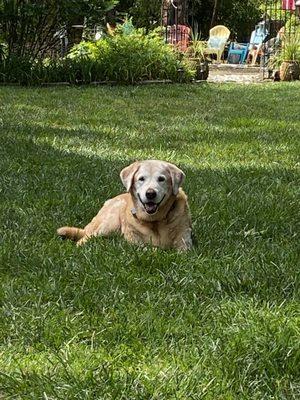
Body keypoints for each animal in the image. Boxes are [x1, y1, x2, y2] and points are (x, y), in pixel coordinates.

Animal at [57, 160, 192, 250]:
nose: (150, 194)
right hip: (109, 224)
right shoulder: (135, 243)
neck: (154, 221)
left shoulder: (185, 242)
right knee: (87, 237)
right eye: (141, 179)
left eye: (161, 179)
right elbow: (150, 249)